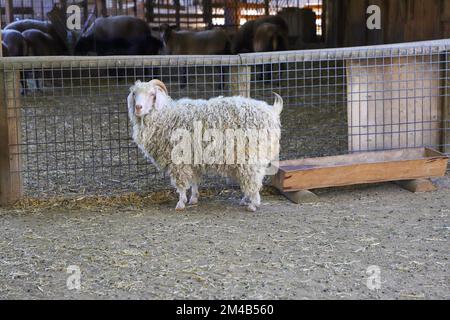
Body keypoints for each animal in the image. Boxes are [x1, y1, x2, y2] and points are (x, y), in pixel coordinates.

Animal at [126, 79, 284, 211]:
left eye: (152, 94)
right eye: (134, 94)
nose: (138, 107)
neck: (165, 116)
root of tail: (271, 111)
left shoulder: (177, 160)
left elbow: (181, 184)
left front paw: (181, 203)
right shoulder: (192, 158)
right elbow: (194, 181)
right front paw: (193, 199)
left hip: (250, 154)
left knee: (253, 179)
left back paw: (253, 204)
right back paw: (246, 200)